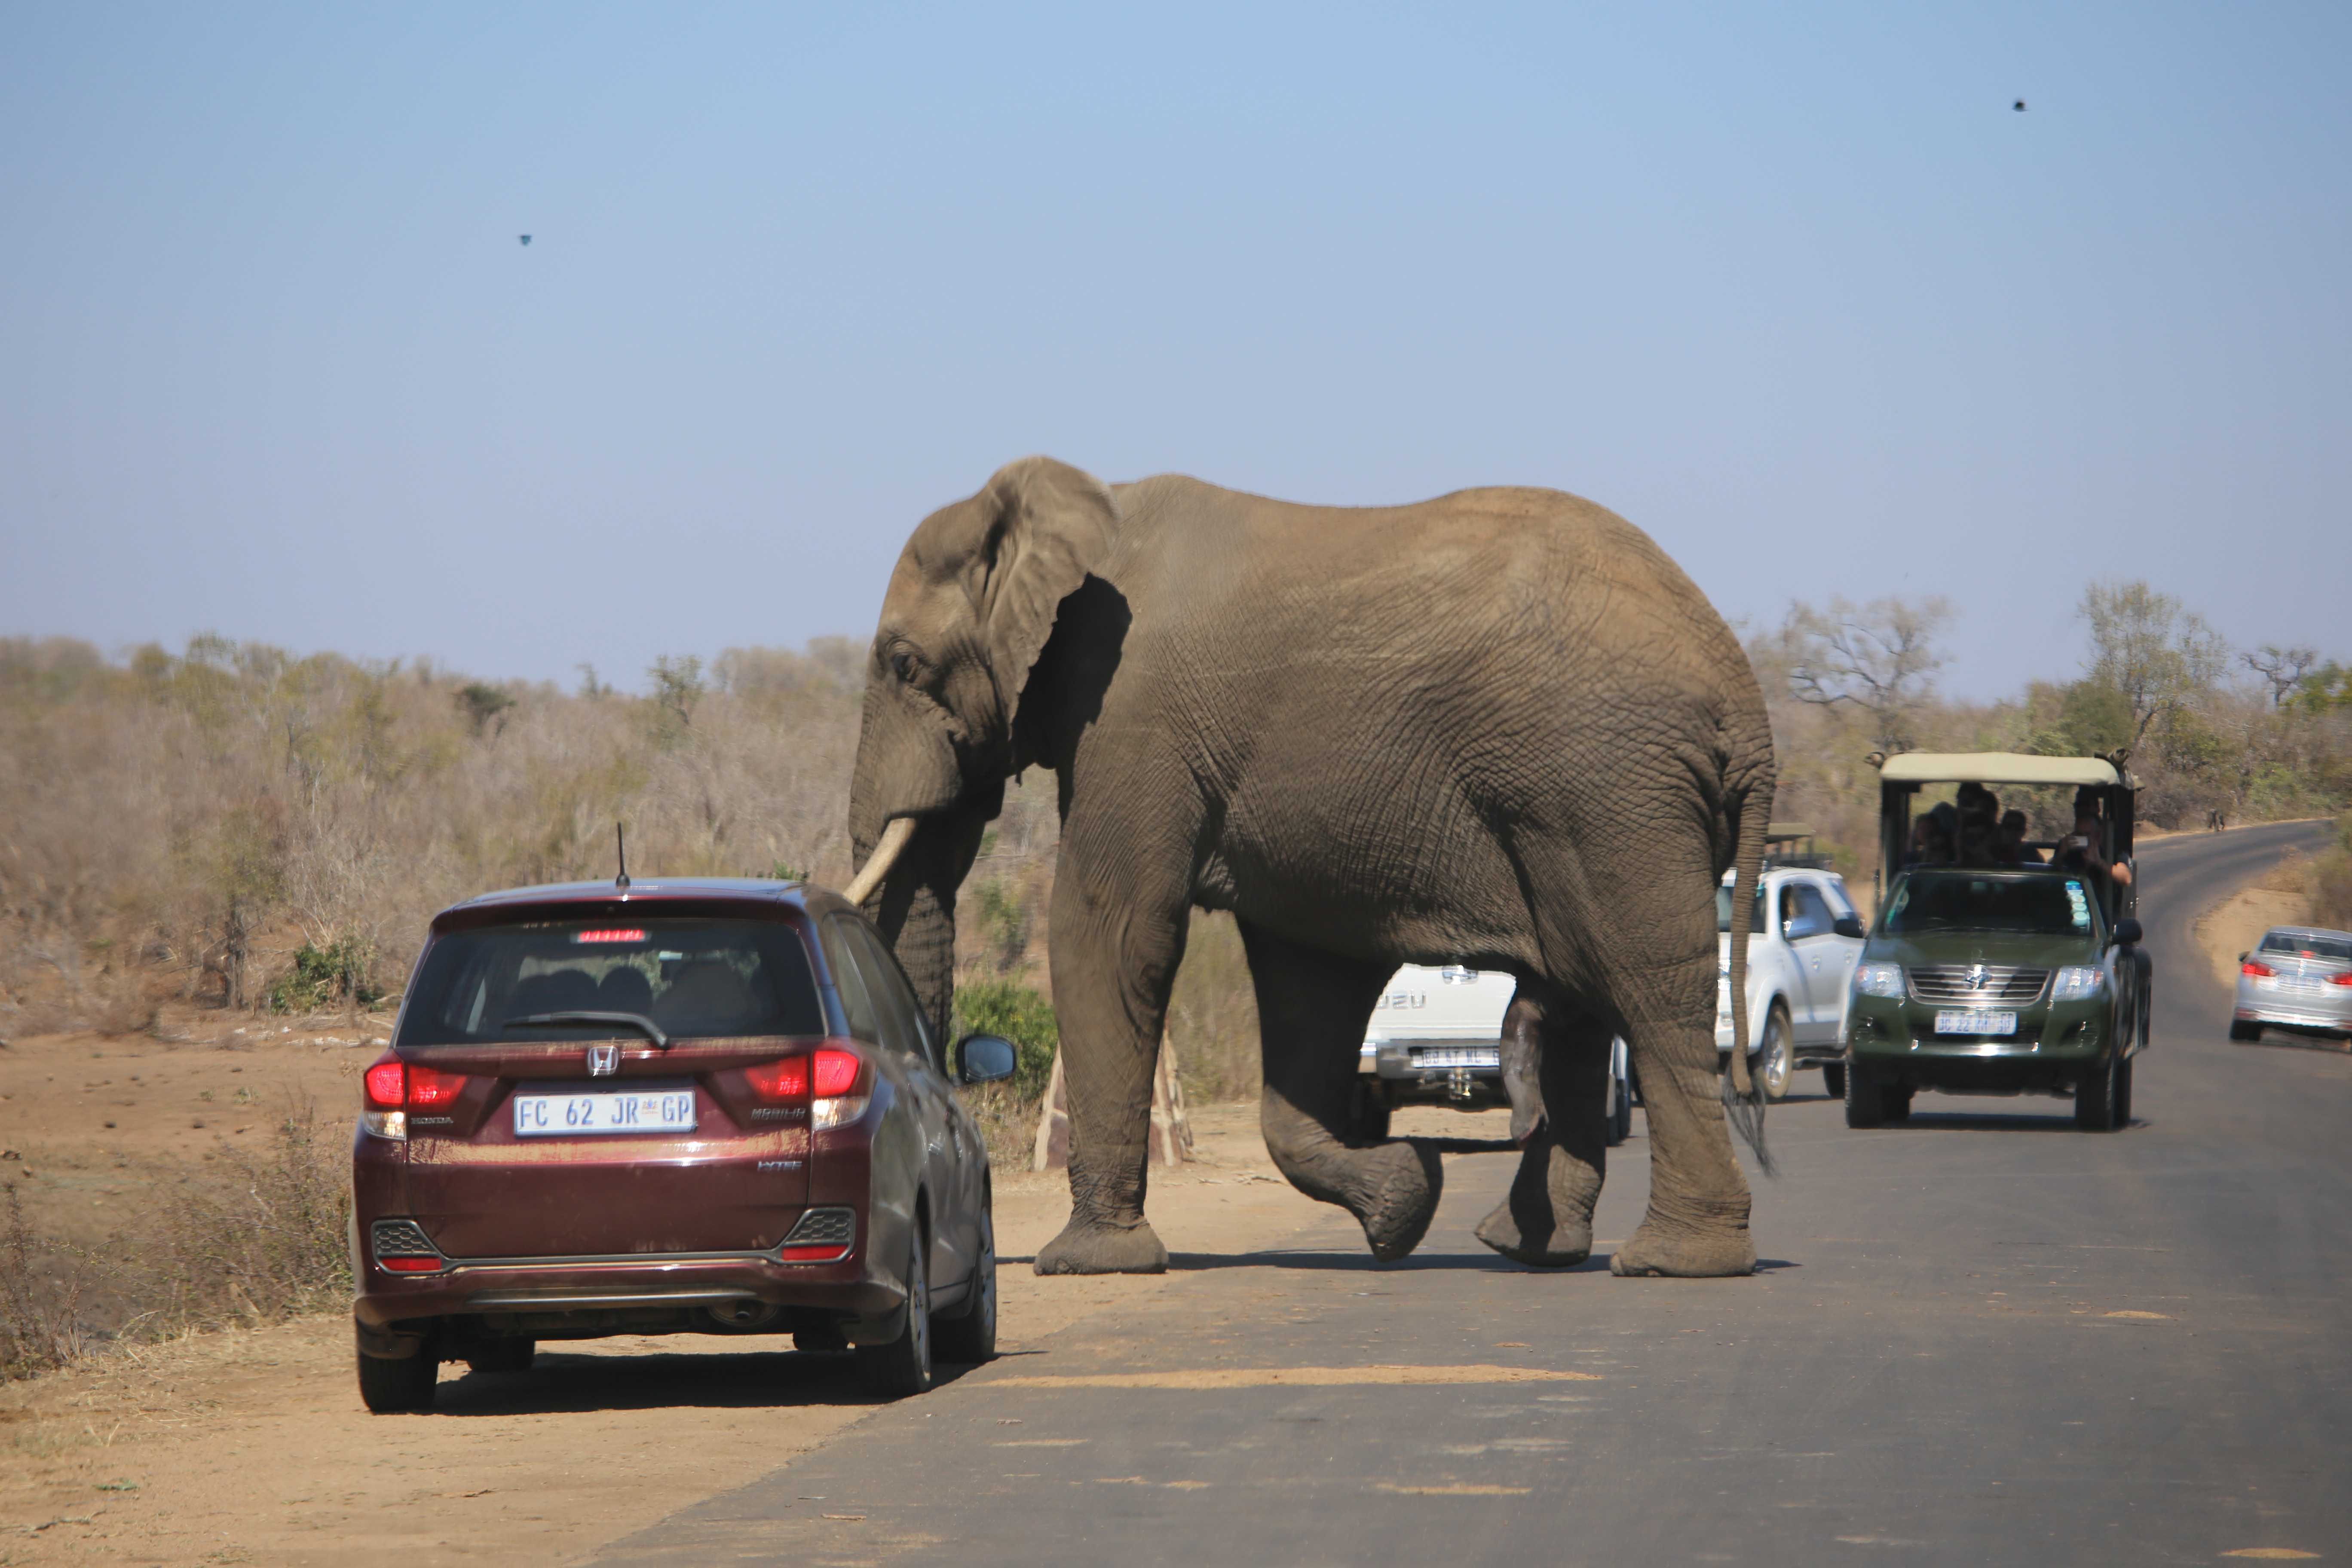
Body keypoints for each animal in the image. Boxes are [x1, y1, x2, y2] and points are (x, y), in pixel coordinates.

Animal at [837, 453, 1768, 1279]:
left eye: (905, 664)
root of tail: (1746, 705)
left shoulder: (1132, 711)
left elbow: (1109, 935)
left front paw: (1085, 1263)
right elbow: (1307, 985)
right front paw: (1404, 1202)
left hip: (1612, 791)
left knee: (1647, 995)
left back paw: (1676, 1262)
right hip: (1595, 802)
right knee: (1581, 996)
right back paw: (1531, 1247)